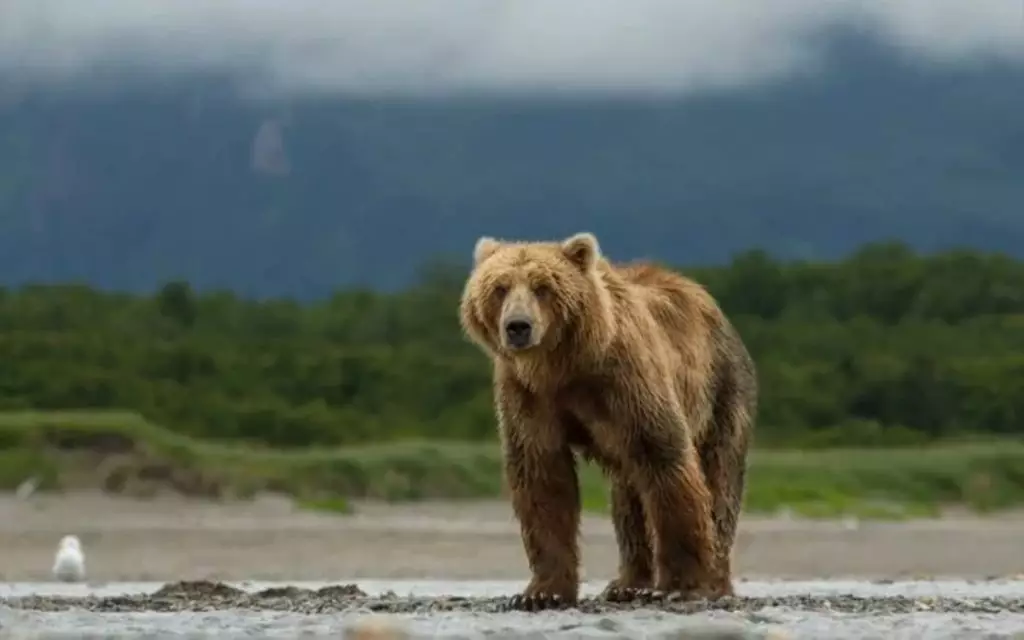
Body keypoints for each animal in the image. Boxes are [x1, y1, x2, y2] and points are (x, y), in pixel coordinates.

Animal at [460, 229, 757, 610]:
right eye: (500, 287)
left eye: (543, 287)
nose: (518, 327)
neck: (562, 367)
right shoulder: (528, 396)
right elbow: (543, 478)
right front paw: (542, 592)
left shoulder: (627, 380)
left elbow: (665, 460)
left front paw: (682, 584)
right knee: (628, 500)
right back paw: (629, 584)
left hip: (721, 390)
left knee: (719, 478)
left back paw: (715, 580)